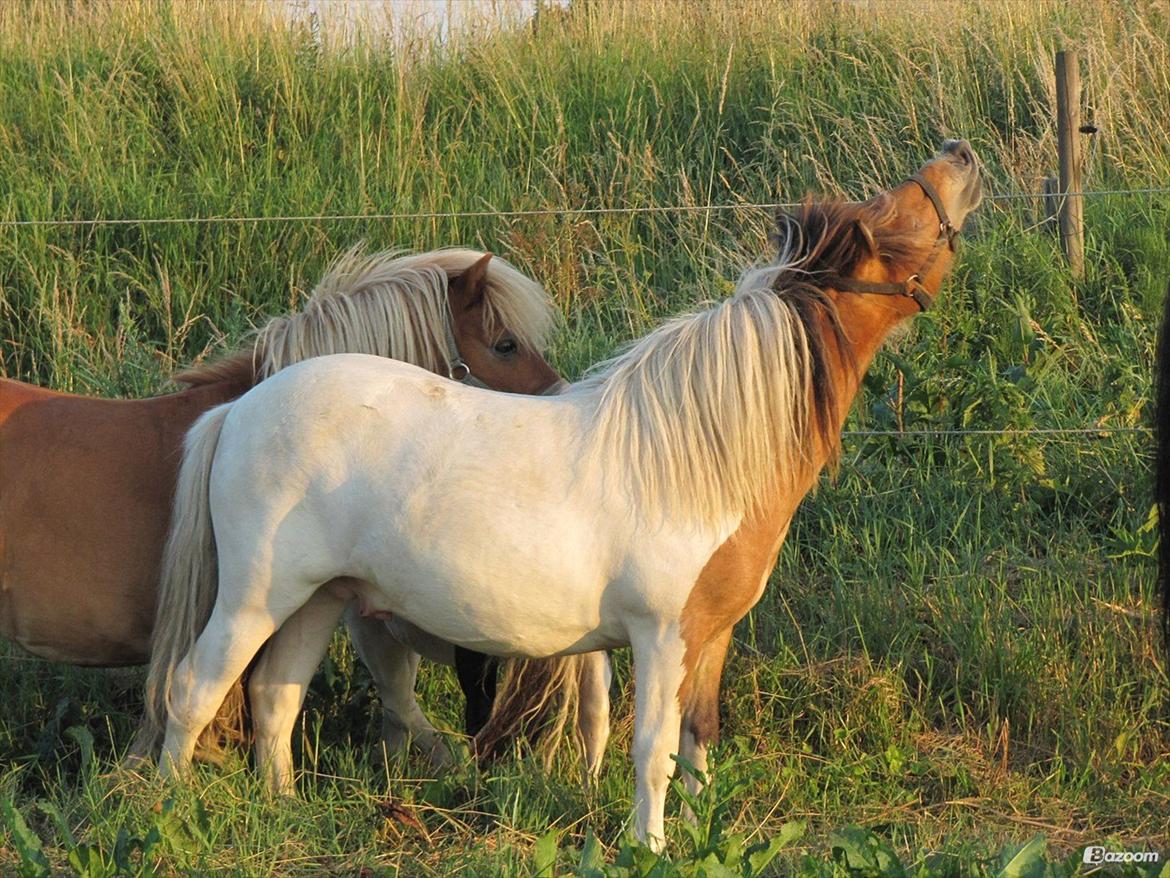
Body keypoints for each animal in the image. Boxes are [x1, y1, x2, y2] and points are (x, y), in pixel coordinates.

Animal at [150, 144, 982, 852]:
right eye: (890, 212)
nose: (961, 155)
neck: (698, 459)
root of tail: (239, 409)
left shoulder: (710, 637)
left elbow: (698, 745)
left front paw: (695, 836)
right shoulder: (661, 636)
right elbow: (651, 749)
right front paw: (647, 847)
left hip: (318, 599)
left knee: (274, 698)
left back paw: (282, 811)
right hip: (256, 596)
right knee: (194, 688)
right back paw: (166, 810)